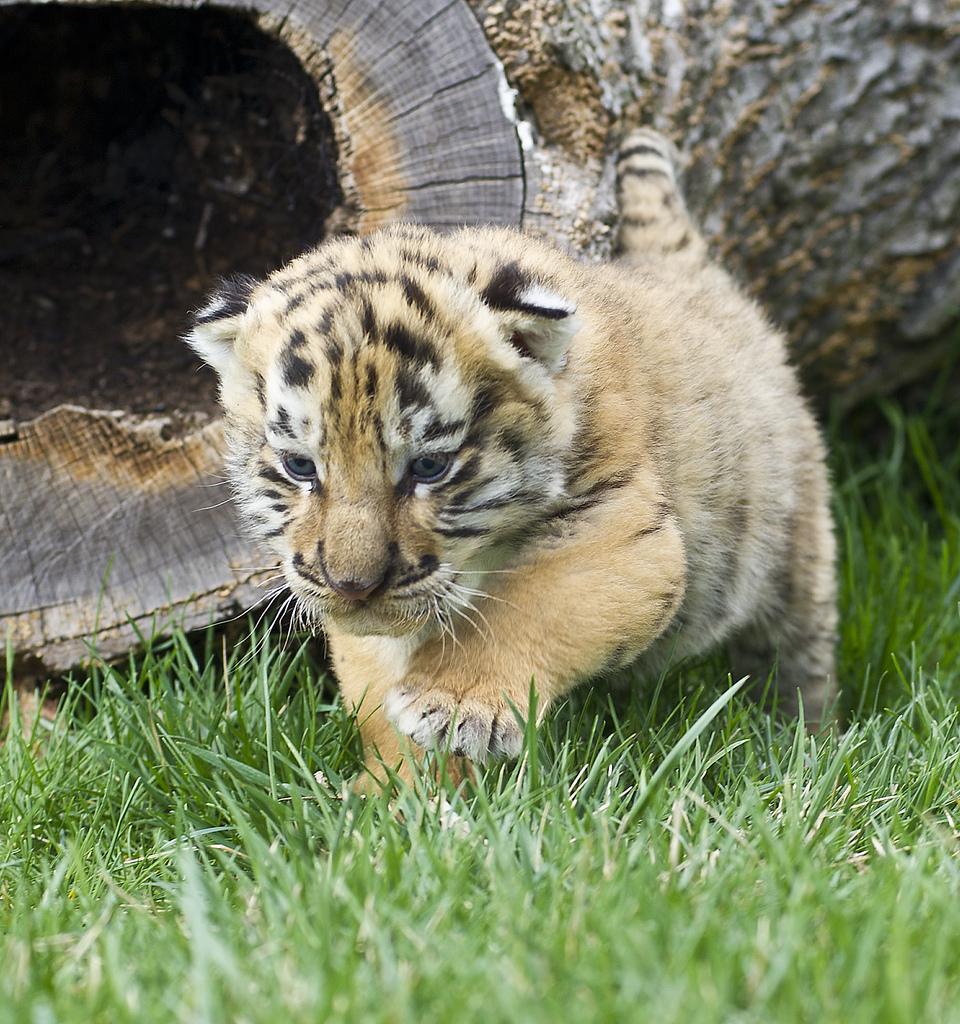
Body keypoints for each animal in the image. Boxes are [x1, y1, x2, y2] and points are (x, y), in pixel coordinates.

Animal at [186, 128, 837, 786]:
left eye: (428, 467)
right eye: (300, 467)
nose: (353, 587)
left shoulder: (624, 526)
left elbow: (531, 604)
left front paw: (455, 704)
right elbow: (378, 683)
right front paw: (396, 790)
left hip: (795, 545)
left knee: (800, 652)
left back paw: (802, 740)